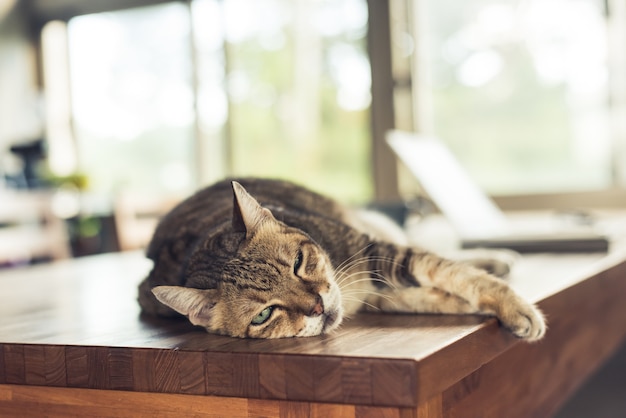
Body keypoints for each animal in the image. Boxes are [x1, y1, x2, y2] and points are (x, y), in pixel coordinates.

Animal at [139, 178, 544, 342]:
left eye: (298, 262)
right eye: (263, 315)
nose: (318, 307)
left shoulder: (377, 251)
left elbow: (455, 274)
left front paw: (516, 308)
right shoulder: (384, 292)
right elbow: (436, 293)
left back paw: (496, 256)